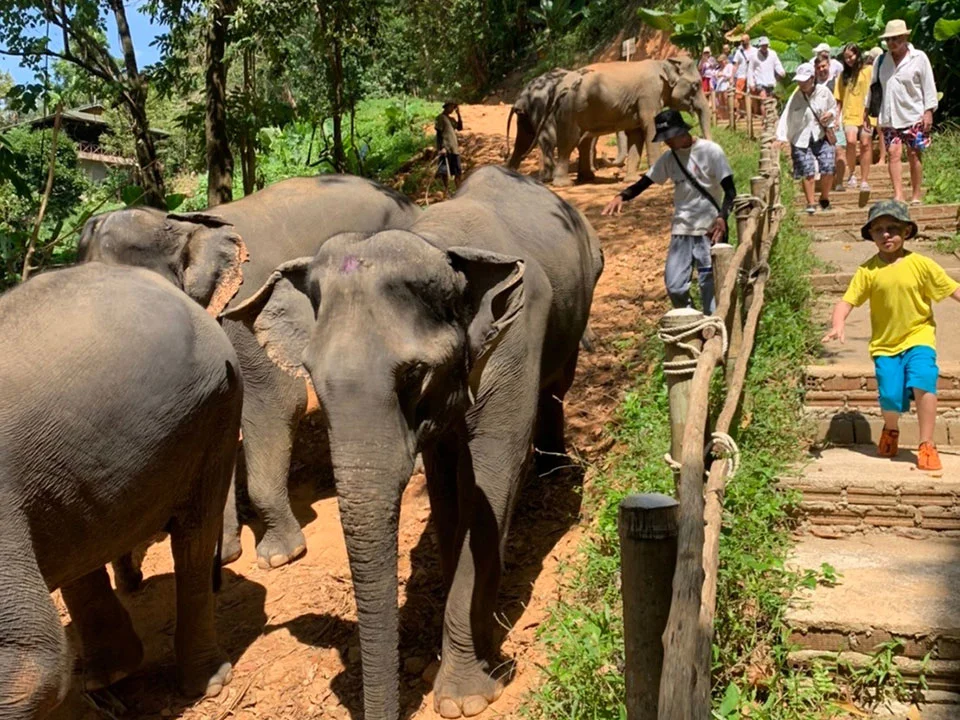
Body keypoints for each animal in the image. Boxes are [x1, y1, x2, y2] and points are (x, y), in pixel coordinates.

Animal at [223, 166, 604, 719]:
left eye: (414, 374)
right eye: (313, 374)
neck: (437, 244)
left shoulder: (514, 344)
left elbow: (496, 473)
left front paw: (465, 697)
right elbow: (447, 486)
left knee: (558, 382)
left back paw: (555, 471)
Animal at [506, 57, 712, 186]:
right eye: (696, 85)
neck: (662, 62)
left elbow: (636, 135)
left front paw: (631, 180)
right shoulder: (649, 95)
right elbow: (650, 128)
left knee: (523, 141)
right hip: (569, 108)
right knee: (566, 140)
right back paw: (560, 182)